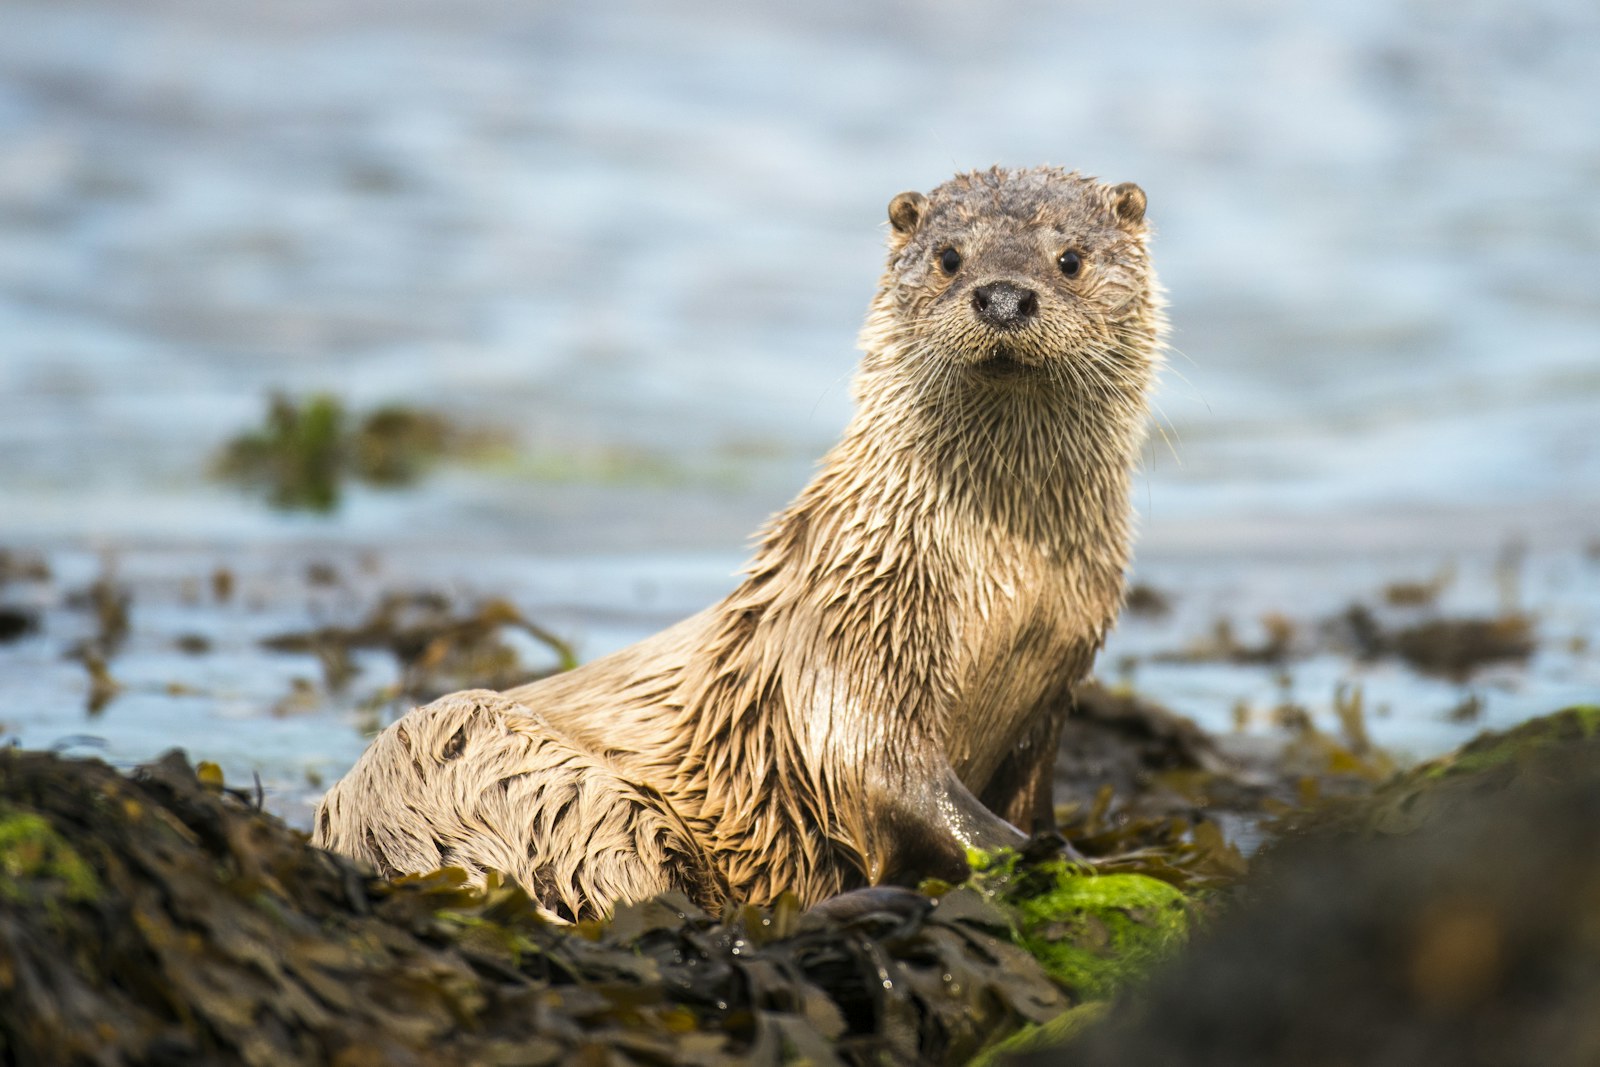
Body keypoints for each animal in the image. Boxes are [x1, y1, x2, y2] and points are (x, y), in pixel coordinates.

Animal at [315, 164, 1164, 921]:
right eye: (952, 257)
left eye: (1070, 259)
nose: (1003, 295)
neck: (1002, 582)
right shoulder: (846, 638)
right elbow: (889, 776)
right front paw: (1052, 861)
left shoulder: (1052, 689)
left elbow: (1032, 795)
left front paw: (1080, 850)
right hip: (520, 779)